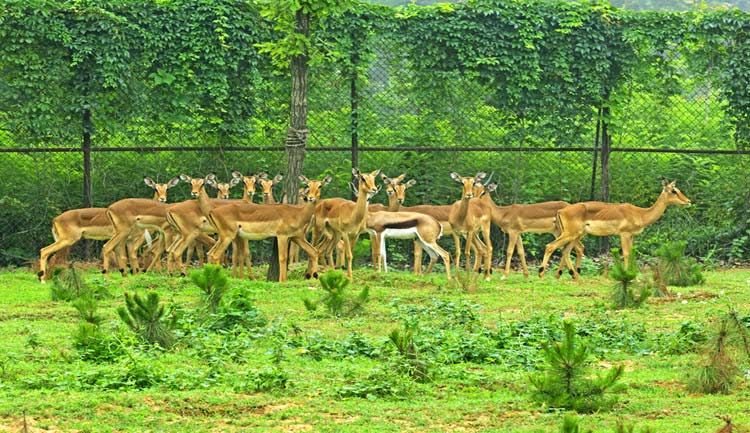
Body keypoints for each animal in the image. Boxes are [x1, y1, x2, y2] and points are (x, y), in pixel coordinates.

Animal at [38, 177, 179, 282]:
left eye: (167, 188)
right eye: (155, 188)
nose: (162, 199)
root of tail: (55, 219)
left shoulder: (126, 240)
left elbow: (123, 256)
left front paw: (127, 275)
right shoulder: (132, 238)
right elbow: (129, 255)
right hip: (68, 240)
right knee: (45, 251)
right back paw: (43, 279)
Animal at [540, 179, 692, 280]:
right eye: (673, 191)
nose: (688, 201)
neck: (640, 214)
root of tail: (561, 211)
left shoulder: (631, 236)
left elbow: (631, 253)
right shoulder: (624, 234)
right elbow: (626, 254)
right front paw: (627, 275)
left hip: (575, 235)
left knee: (566, 251)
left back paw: (572, 276)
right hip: (570, 234)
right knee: (551, 246)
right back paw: (541, 274)